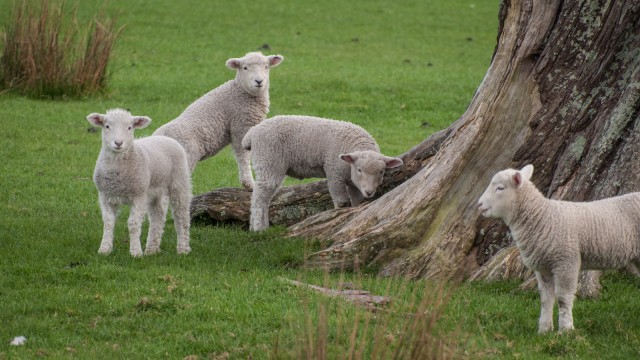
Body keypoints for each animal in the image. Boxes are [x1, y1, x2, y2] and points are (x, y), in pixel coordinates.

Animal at [87, 107, 192, 256]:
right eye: (107, 126)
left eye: (129, 127)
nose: (118, 143)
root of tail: (165, 137)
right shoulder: (105, 196)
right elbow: (108, 222)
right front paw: (104, 249)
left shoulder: (139, 196)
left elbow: (133, 224)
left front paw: (135, 252)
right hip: (156, 190)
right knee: (157, 216)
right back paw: (152, 248)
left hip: (179, 182)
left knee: (181, 216)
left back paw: (183, 248)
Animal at [152, 52, 282, 191]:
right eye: (245, 68)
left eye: (266, 66)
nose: (259, 81)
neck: (241, 91)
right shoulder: (240, 126)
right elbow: (243, 156)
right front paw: (249, 184)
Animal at [242, 116, 402, 232]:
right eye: (359, 170)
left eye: (381, 171)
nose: (369, 192)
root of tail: (251, 133)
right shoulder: (334, 173)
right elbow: (342, 202)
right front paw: (337, 217)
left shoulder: (353, 183)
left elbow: (357, 202)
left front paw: (353, 215)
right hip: (268, 160)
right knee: (259, 198)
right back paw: (258, 229)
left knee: (264, 197)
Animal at [478, 165, 640, 334]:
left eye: (500, 188)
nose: (479, 204)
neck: (543, 217)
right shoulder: (543, 268)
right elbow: (546, 299)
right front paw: (544, 330)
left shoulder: (566, 261)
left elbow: (563, 298)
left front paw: (566, 330)